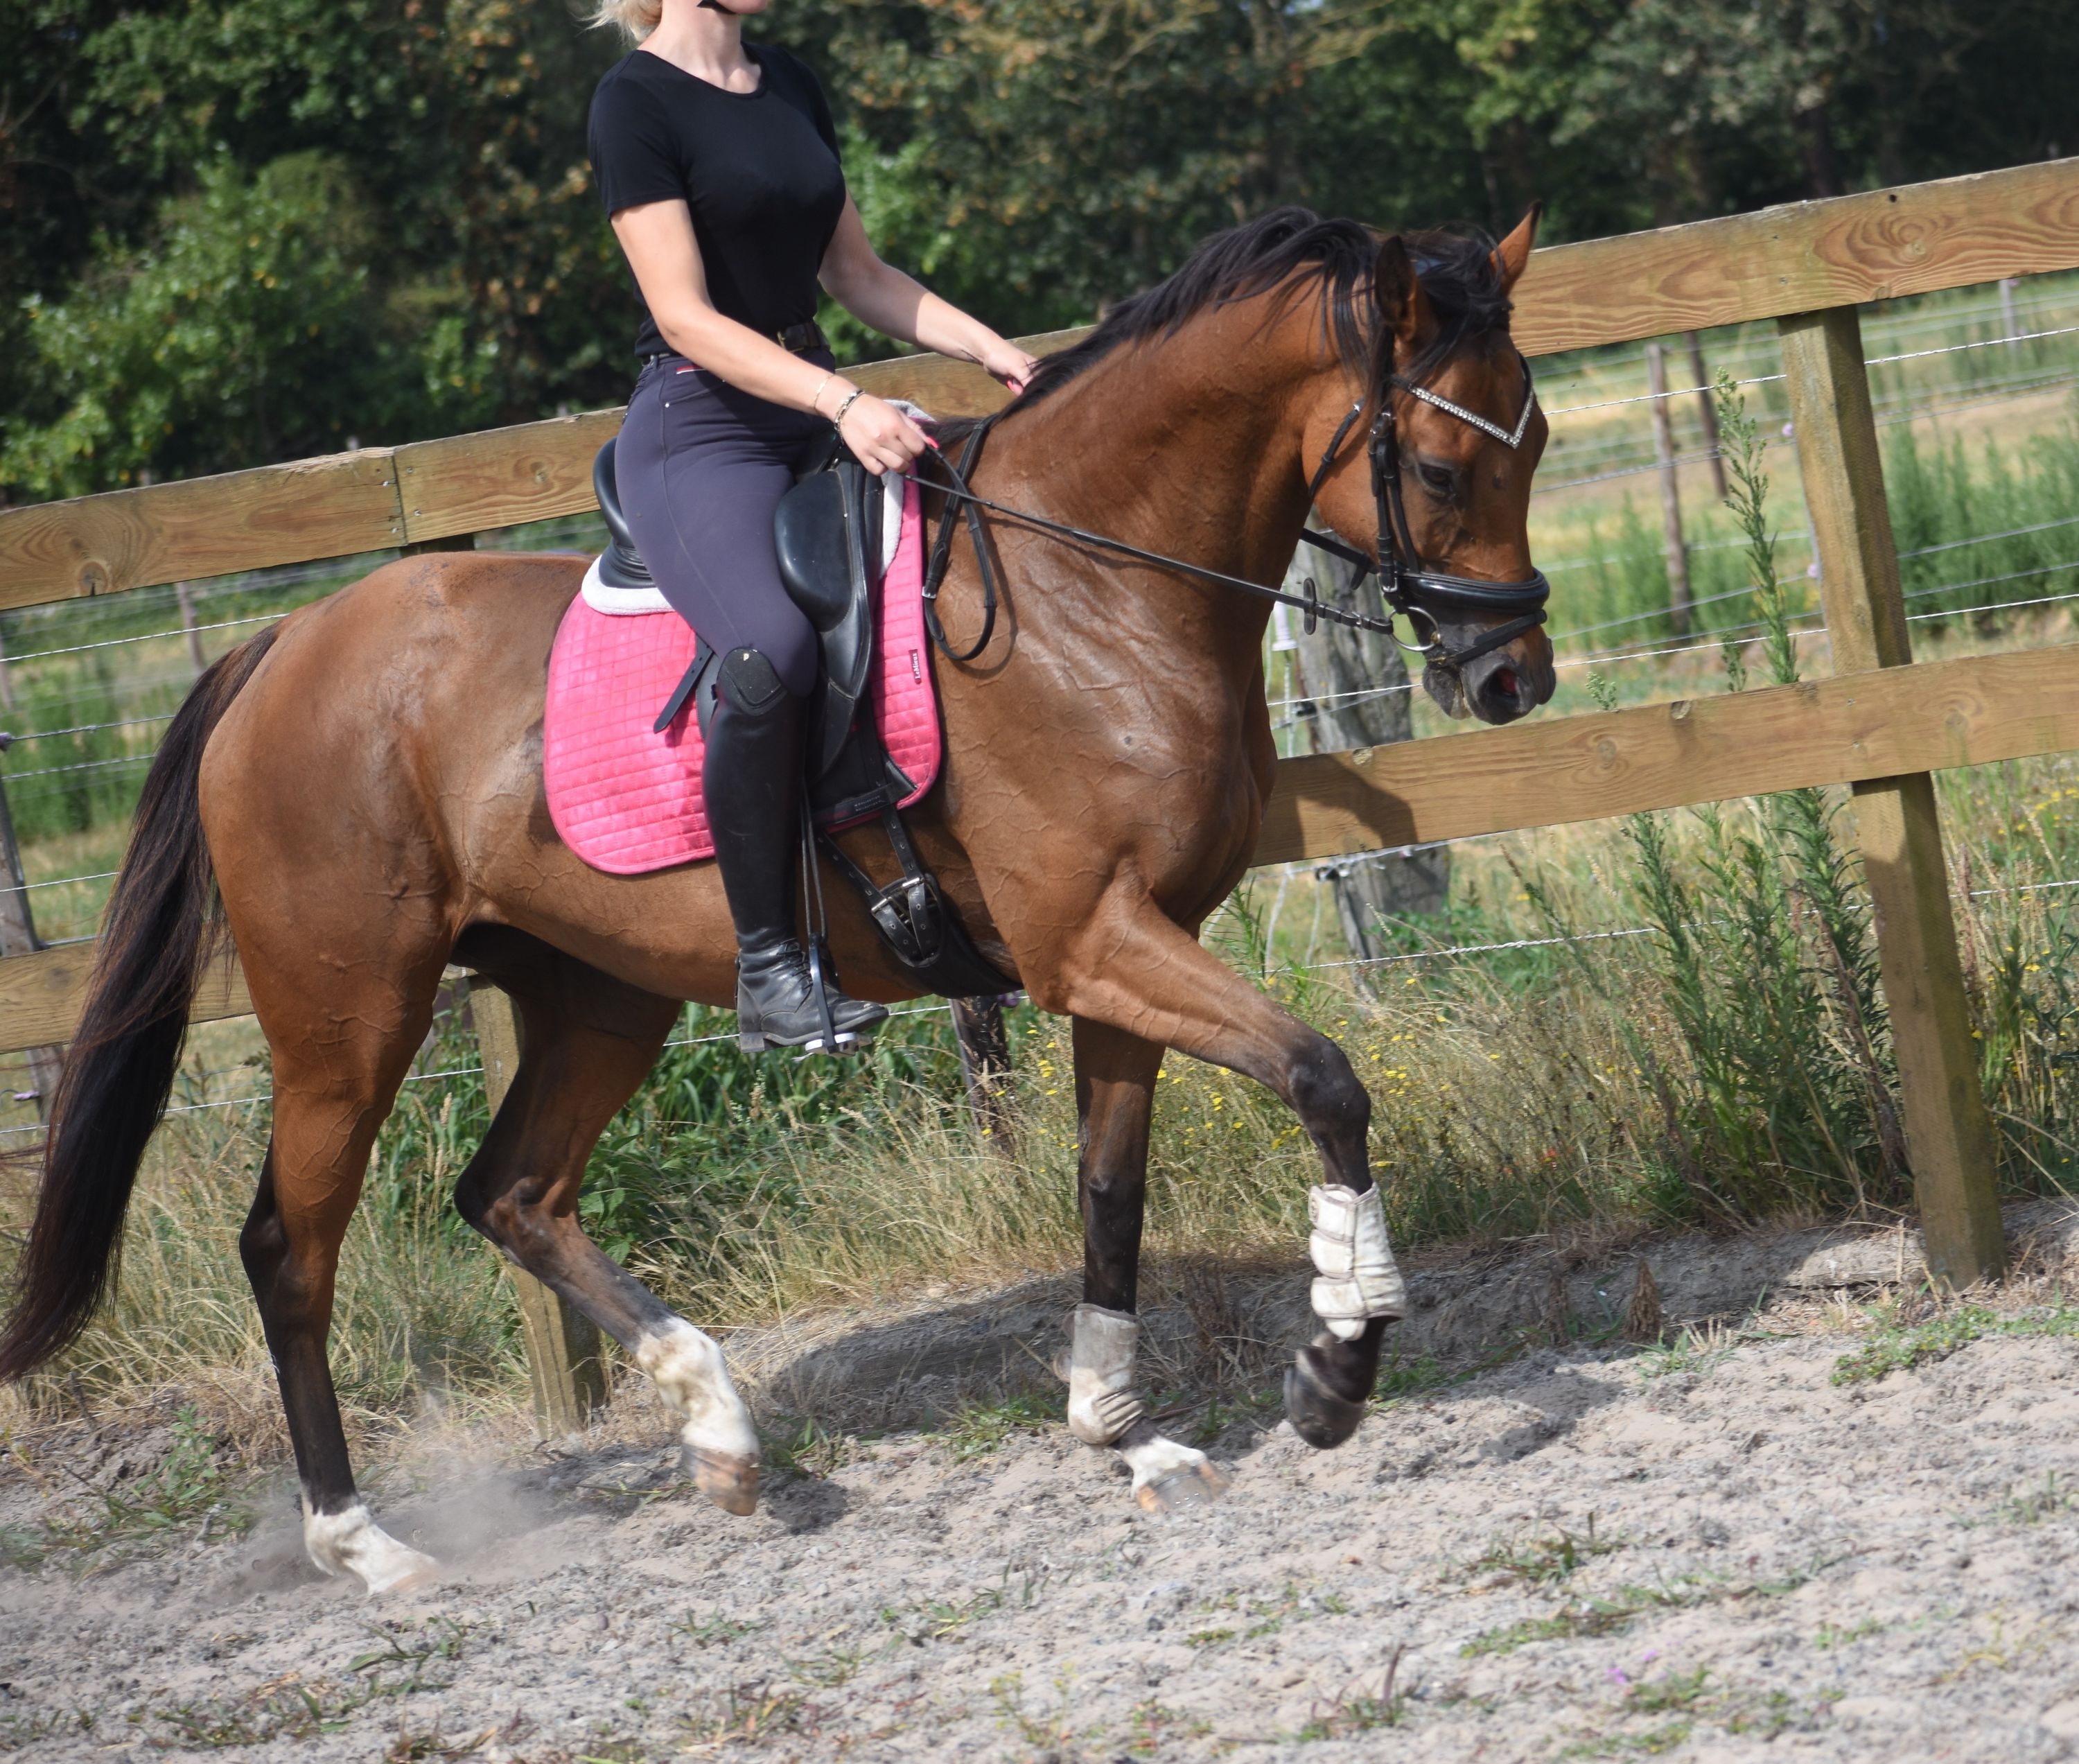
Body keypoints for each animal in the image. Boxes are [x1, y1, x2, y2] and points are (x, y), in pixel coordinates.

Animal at [0, 205, 1554, 1594]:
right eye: (1434, 463)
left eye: (1530, 446)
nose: (1514, 680)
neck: (1091, 586)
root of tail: (280, 647)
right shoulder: (1094, 941)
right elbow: (1323, 1075)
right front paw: (1337, 1365)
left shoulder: (1123, 948)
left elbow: (1111, 1188)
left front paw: (1125, 1436)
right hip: (349, 1015)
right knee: (290, 1249)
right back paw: (364, 1543)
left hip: (595, 995)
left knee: (513, 1193)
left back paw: (722, 1431)